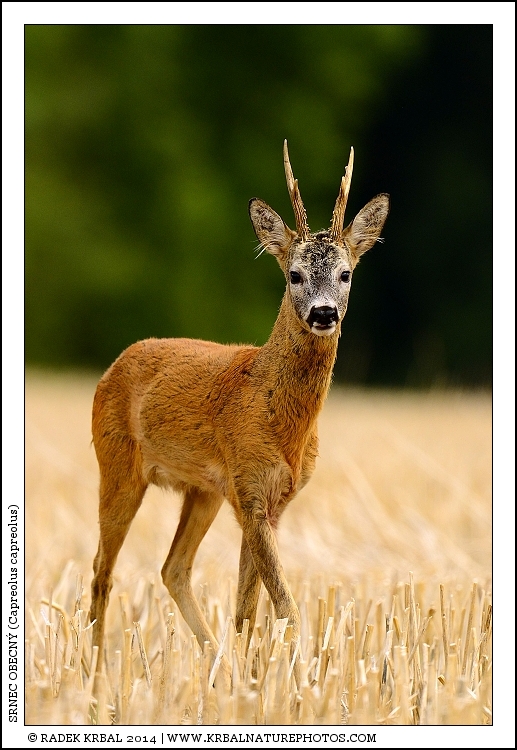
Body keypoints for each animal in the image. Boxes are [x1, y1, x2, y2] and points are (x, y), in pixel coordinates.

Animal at [89, 141, 389, 686]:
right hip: (117, 465)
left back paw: (214, 667)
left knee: (172, 567)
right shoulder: (248, 489)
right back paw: (95, 675)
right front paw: (301, 681)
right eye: (293, 274)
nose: (323, 313)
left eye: (346, 273)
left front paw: (250, 685)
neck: (283, 423)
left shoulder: (270, 500)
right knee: (103, 566)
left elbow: (248, 608)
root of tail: (114, 365)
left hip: (202, 490)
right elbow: (285, 605)